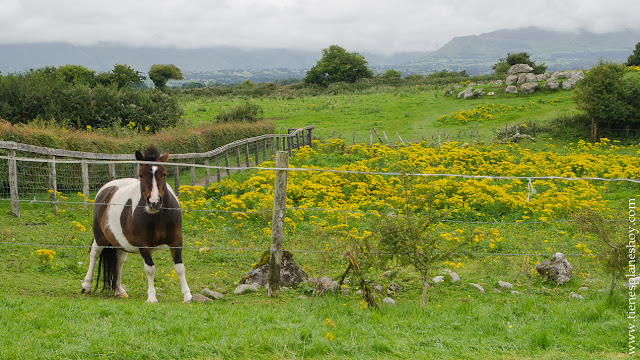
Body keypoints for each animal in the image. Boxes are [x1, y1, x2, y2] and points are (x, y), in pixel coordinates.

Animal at [80, 148, 191, 302]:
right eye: (141, 174)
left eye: (164, 173)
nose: (154, 202)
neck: (158, 216)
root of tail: (106, 189)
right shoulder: (143, 244)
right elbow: (150, 269)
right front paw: (152, 297)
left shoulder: (176, 241)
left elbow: (180, 267)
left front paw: (187, 296)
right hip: (101, 237)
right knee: (94, 253)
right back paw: (86, 285)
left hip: (119, 242)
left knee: (119, 261)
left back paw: (119, 290)